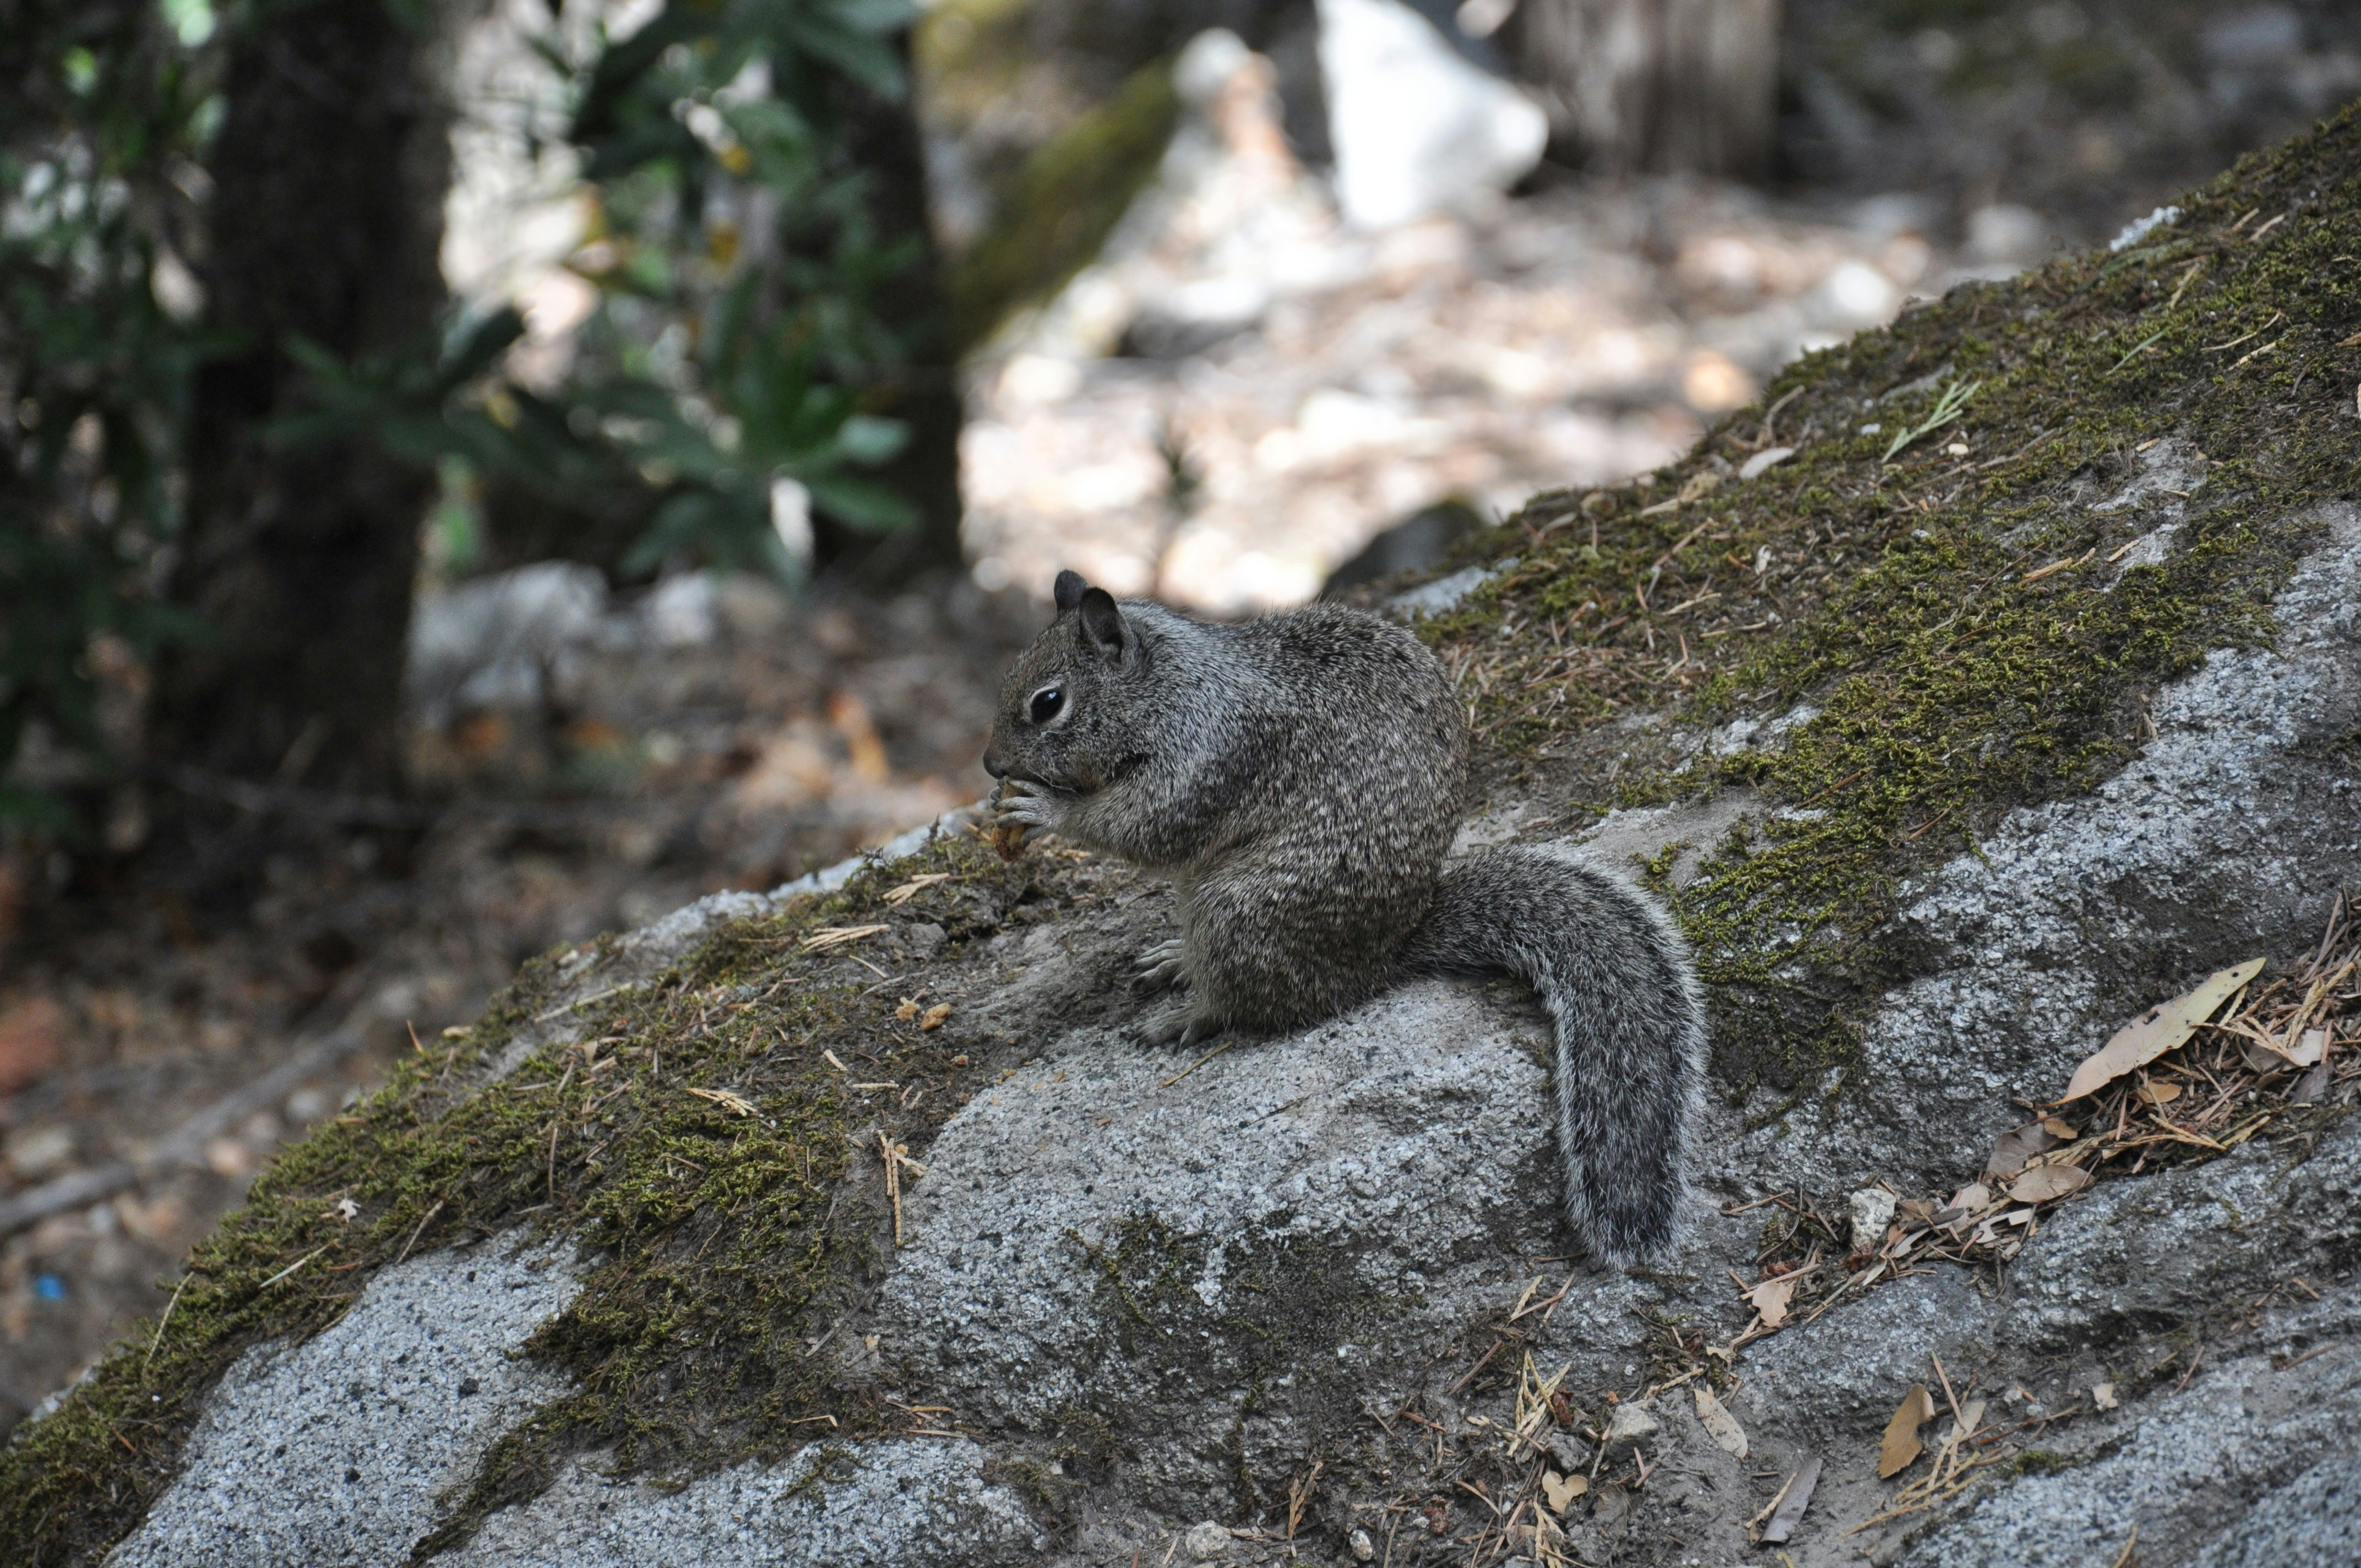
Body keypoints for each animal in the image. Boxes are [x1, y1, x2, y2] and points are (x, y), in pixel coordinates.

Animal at [981, 570, 1705, 1266]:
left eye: (1048, 702)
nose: (991, 765)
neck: (1173, 687)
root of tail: (1381, 955)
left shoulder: (1210, 753)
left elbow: (1148, 826)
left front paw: (1048, 812)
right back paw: (1174, 961)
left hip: (1235, 911)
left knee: (1246, 1001)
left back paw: (1186, 1014)